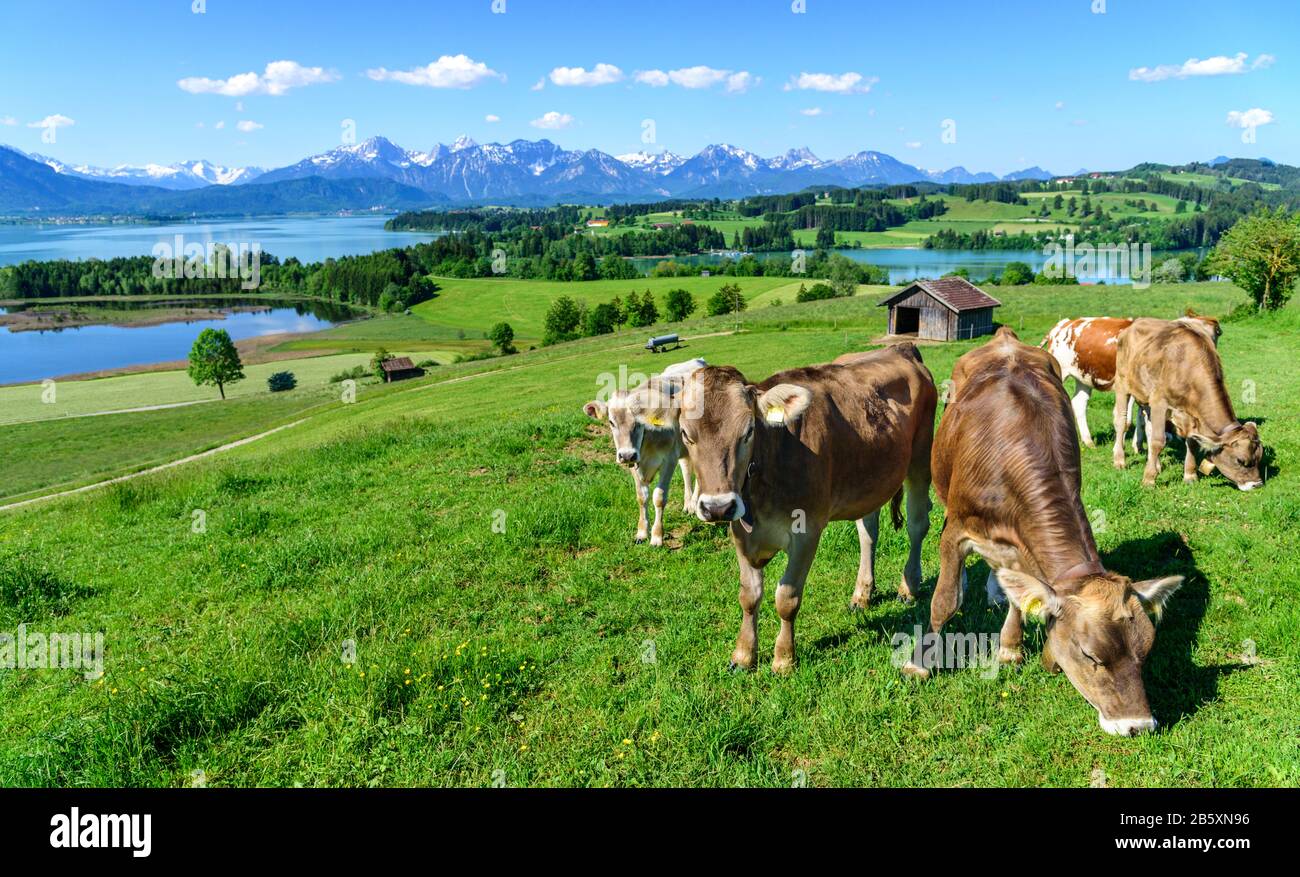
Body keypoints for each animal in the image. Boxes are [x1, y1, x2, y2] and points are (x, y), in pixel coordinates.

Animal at [583, 358, 705, 546]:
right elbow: (642, 496)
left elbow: (659, 497)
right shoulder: (636, 462)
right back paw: (688, 505)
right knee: (686, 470)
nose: (626, 455)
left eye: (638, 421)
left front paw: (656, 536)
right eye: (611, 422)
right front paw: (641, 532)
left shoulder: (669, 460)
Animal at [679, 344, 936, 674]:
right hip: (870, 477)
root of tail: (900, 348)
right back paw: (862, 593)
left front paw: (784, 659)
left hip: (920, 458)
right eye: (686, 434)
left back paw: (908, 587)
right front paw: (743, 654)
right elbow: (749, 596)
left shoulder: (807, 531)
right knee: (868, 533)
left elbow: (787, 598)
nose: (718, 507)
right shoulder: (739, 531)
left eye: (748, 430)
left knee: (918, 525)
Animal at [926, 327, 1184, 735]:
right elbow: (945, 601)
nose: (1139, 725)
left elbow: (1021, 597)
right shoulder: (957, 529)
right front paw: (922, 662)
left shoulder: (1024, 548)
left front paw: (1010, 647)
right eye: (1090, 654)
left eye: (1145, 651)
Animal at [1043, 311, 1222, 450]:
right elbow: (1127, 420)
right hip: (1062, 371)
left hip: (1084, 377)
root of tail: (1063, 324)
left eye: (1214, 337)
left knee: (1079, 403)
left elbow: (1141, 418)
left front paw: (1138, 445)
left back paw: (1089, 442)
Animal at [1111, 318, 1263, 490]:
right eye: (1240, 460)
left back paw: (1157, 465)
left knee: (1149, 429)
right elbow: (1158, 441)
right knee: (1122, 421)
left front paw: (1190, 475)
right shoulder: (1159, 402)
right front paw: (1149, 479)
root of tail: (1134, 323)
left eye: (1259, 458)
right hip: (1122, 383)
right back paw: (1119, 460)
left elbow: (1191, 441)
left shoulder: (1192, 414)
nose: (1257, 484)